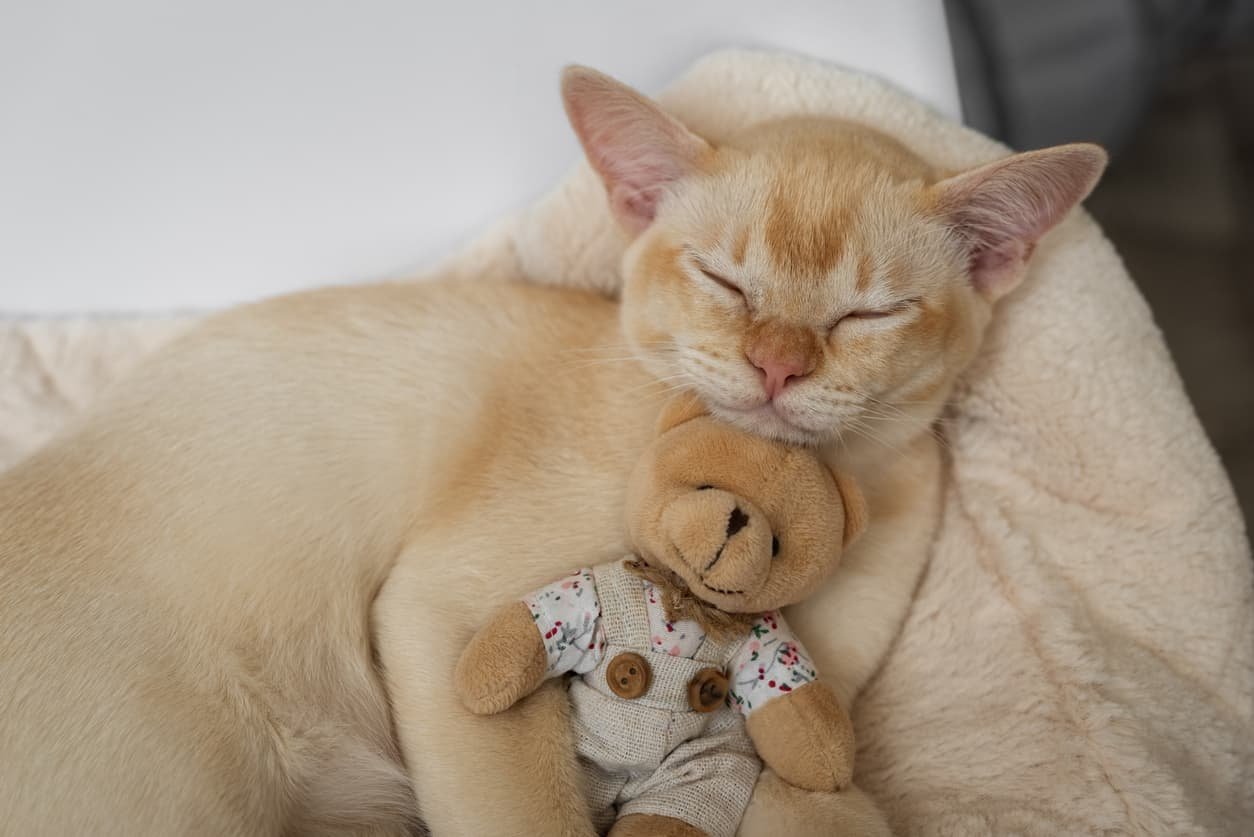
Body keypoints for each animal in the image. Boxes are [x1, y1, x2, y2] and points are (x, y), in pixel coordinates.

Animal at [0, 67, 1103, 837]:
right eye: (724, 281)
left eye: (867, 314)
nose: (777, 364)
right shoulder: (449, 614)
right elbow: (528, 812)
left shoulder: (802, 715)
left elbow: (816, 797)